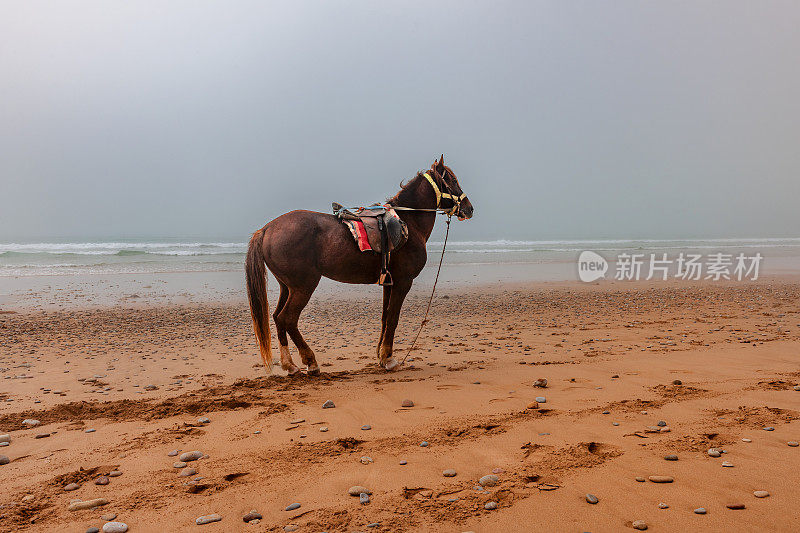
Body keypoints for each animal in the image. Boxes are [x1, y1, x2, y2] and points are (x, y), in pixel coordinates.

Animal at [241, 156, 472, 374]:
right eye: (452, 180)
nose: (469, 208)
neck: (408, 222)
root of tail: (267, 229)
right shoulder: (403, 282)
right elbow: (393, 318)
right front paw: (389, 359)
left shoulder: (389, 282)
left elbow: (385, 317)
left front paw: (382, 356)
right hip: (303, 287)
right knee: (288, 319)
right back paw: (310, 361)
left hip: (286, 287)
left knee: (278, 319)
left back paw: (289, 365)